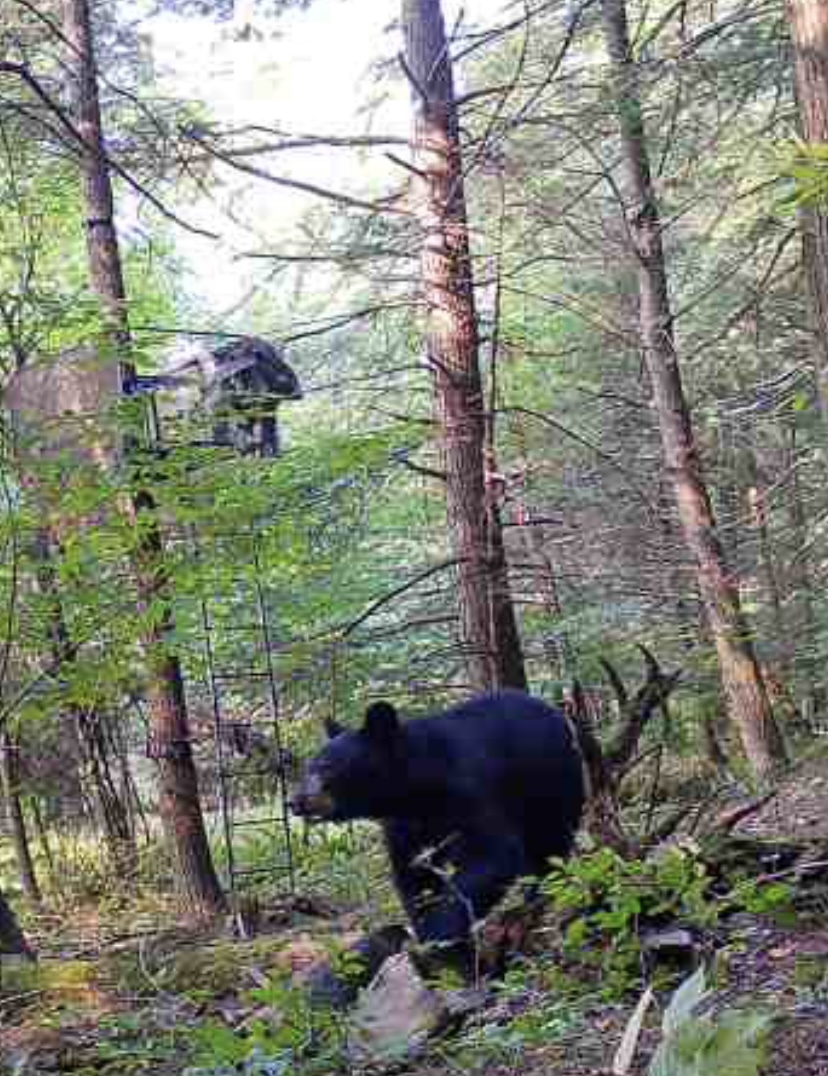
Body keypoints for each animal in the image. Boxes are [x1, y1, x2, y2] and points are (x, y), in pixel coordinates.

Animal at [290, 690, 584, 965]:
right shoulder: (405, 826)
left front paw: (437, 937)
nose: (294, 801)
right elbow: (415, 875)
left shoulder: (470, 790)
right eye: (308, 767)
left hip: (551, 783)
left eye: (326, 767)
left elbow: (492, 854)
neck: (417, 790)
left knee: (549, 843)